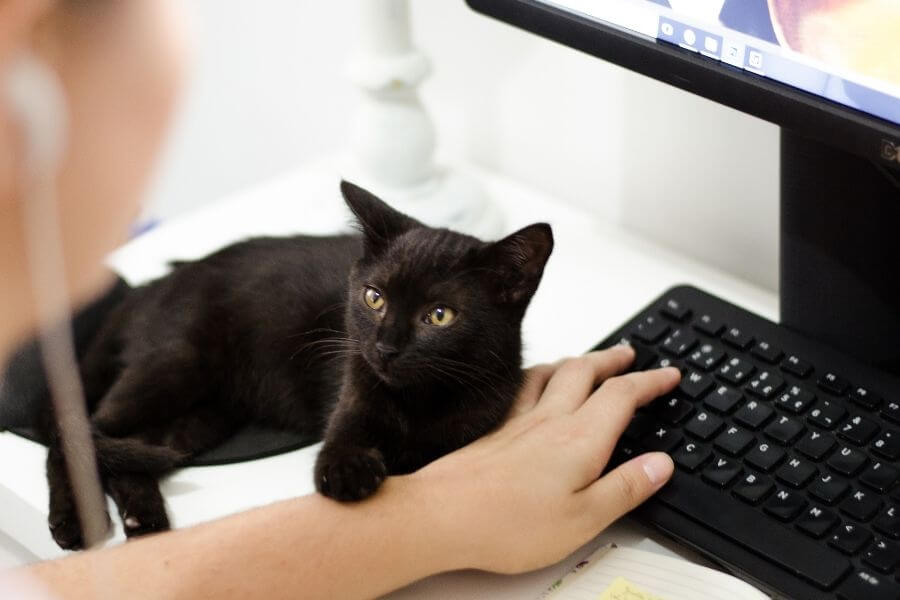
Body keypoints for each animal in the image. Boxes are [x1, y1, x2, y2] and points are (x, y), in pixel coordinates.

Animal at [44, 182, 556, 548]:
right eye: (374, 298)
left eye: (440, 315)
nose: (386, 347)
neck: (420, 401)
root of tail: (150, 286)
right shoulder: (353, 390)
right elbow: (342, 446)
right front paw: (349, 472)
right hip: (176, 363)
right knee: (76, 432)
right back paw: (74, 522)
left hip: (203, 416)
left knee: (127, 449)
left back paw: (144, 517)